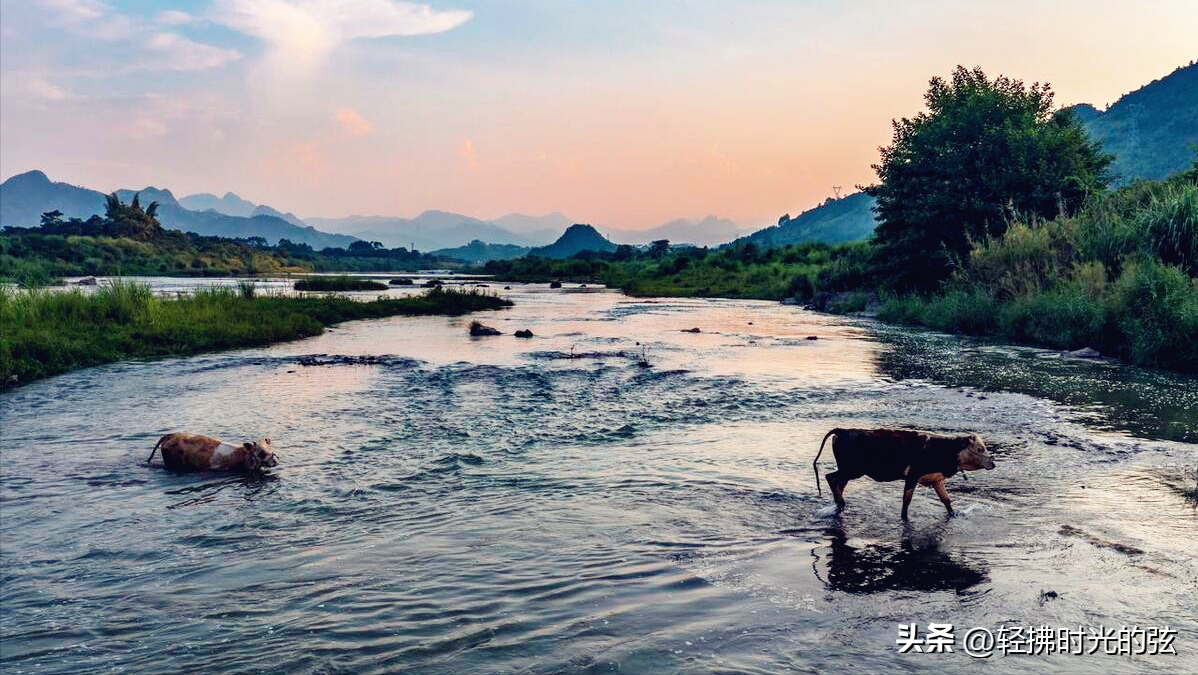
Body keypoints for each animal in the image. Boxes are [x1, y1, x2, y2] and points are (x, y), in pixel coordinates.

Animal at [814, 431, 991, 520]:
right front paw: (904, 518)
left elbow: (946, 500)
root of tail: (842, 431)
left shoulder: (936, 479)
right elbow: (907, 500)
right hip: (853, 469)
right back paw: (840, 504)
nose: (993, 463)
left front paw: (953, 515)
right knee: (831, 478)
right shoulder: (913, 475)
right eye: (980, 449)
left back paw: (839, 505)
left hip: (847, 469)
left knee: (839, 483)